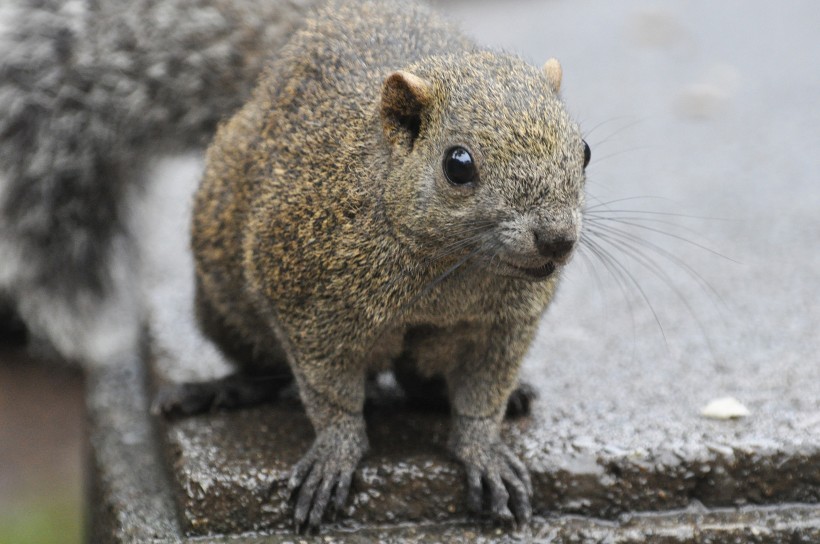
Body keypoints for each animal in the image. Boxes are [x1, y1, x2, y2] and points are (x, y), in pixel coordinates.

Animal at [168, 0, 588, 532]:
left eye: (585, 152)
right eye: (458, 164)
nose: (557, 239)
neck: (452, 273)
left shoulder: (506, 323)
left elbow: (483, 394)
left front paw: (485, 449)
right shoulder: (307, 305)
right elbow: (329, 392)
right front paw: (335, 453)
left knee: (417, 382)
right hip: (224, 308)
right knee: (268, 367)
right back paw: (225, 389)